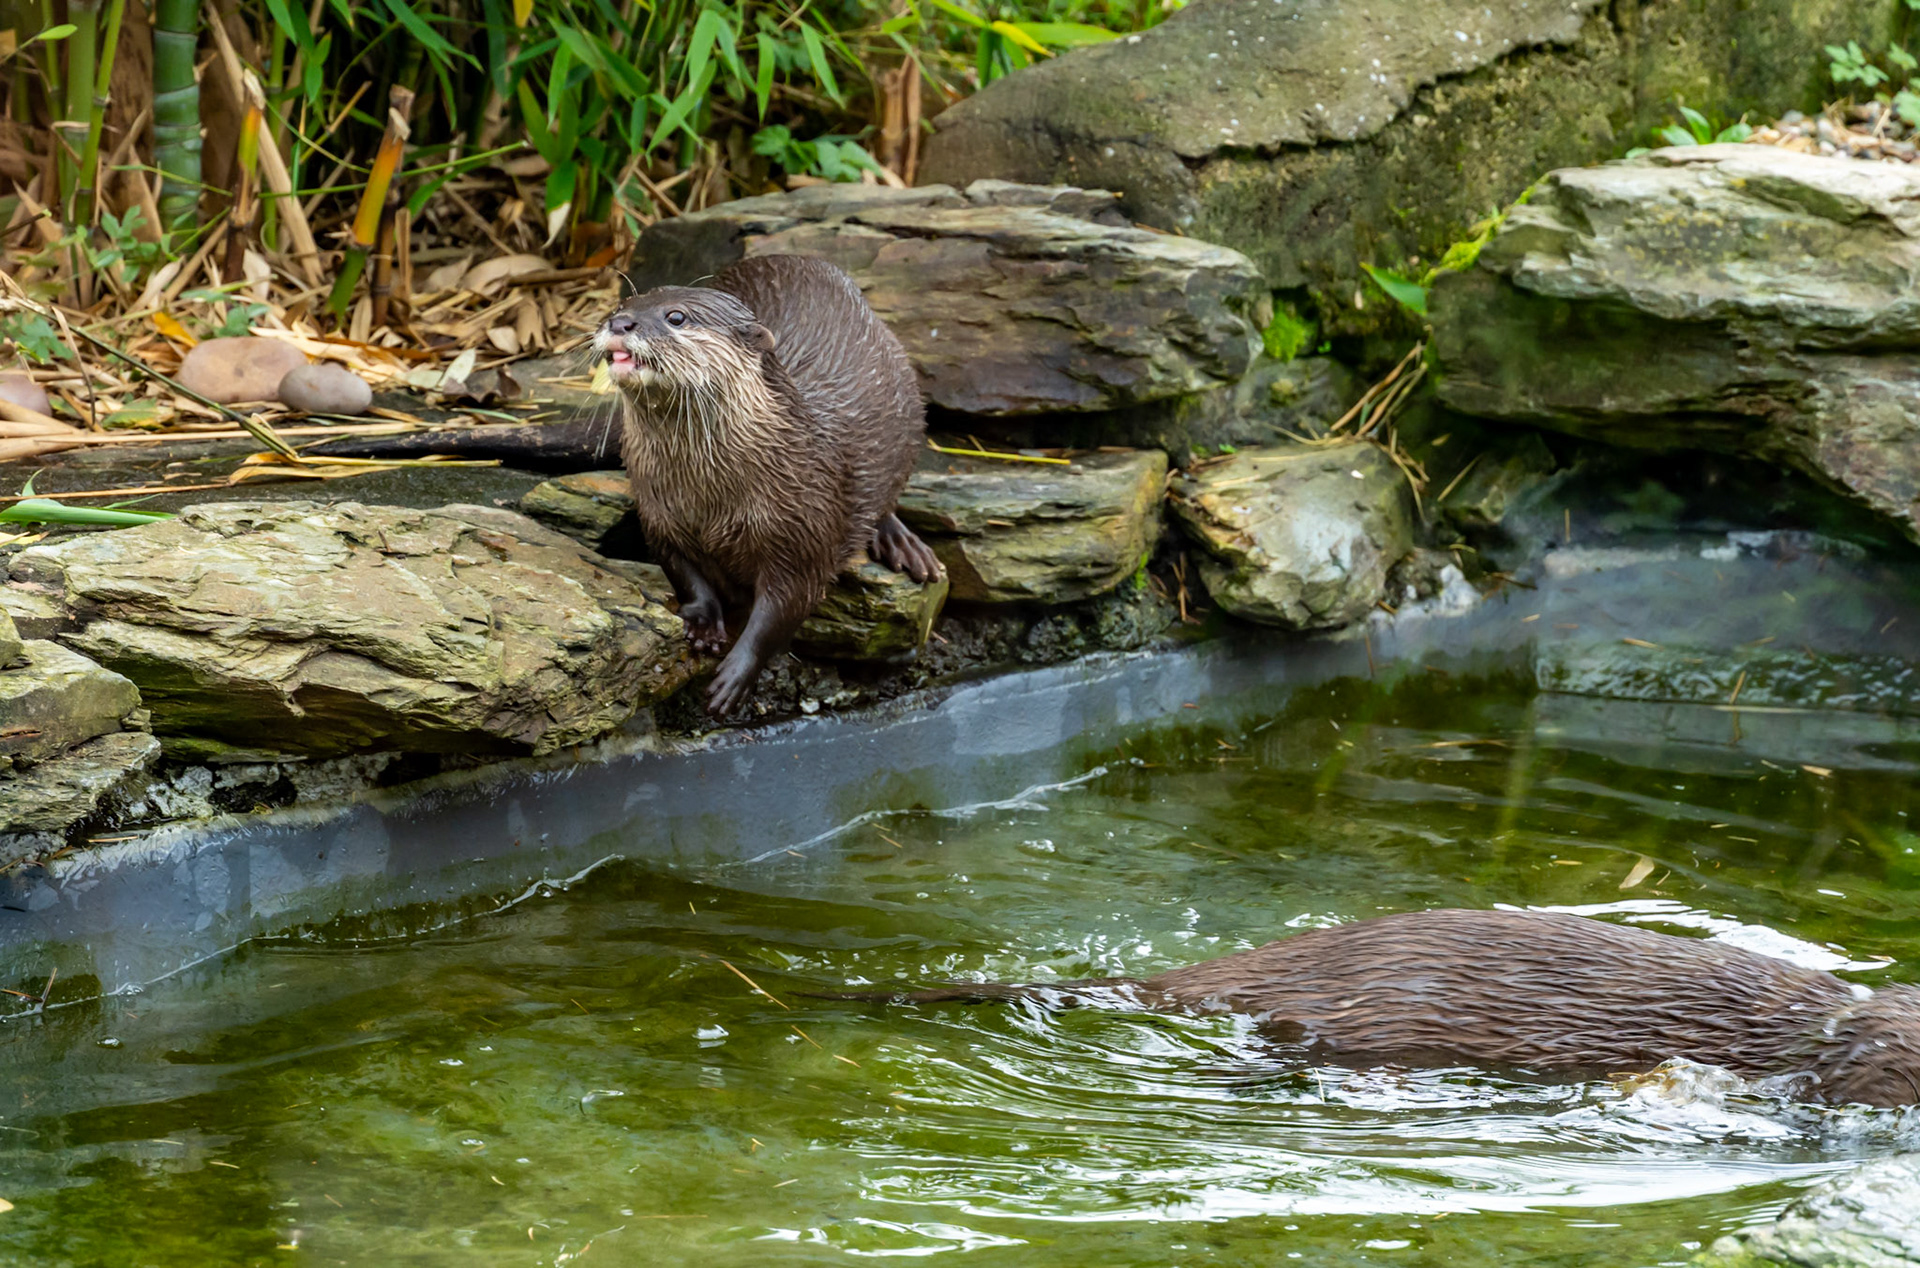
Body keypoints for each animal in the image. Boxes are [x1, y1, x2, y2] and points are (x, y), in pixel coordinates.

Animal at [596, 254, 940, 714]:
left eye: (676, 317)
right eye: (621, 305)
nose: (620, 323)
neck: (713, 495)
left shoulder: (805, 533)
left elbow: (783, 610)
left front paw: (737, 674)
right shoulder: (658, 513)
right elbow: (682, 570)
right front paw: (703, 622)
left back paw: (905, 546)